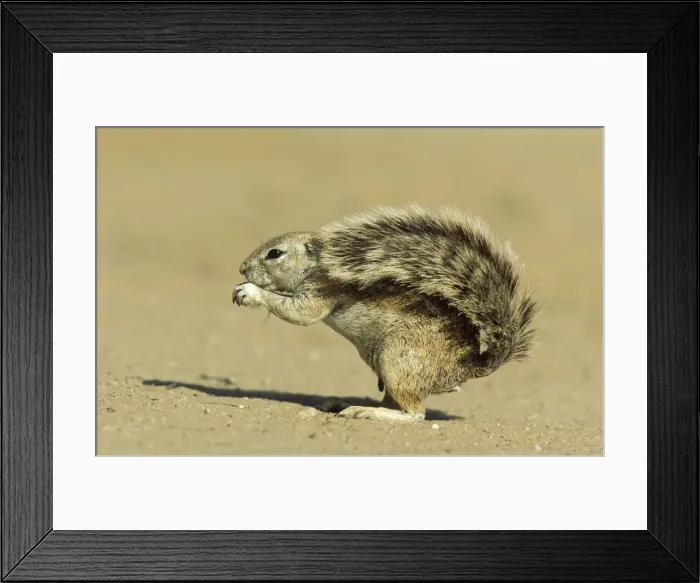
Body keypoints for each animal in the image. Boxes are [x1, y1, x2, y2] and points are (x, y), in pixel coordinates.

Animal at [233, 203, 539, 422]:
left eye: (275, 253)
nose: (242, 267)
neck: (321, 265)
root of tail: (470, 365)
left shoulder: (323, 291)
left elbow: (300, 314)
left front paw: (250, 292)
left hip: (398, 360)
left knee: (415, 414)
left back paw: (368, 412)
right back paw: (341, 404)